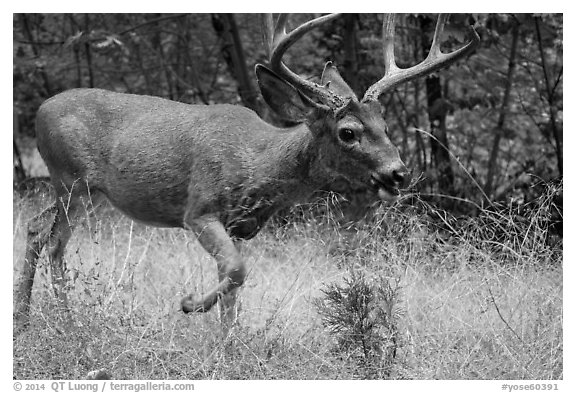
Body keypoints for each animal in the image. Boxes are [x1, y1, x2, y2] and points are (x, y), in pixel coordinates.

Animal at [14, 13, 482, 330]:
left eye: (384, 125)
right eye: (348, 132)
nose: (399, 173)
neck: (258, 164)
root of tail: (40, 111)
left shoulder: (241, 227)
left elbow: (233, 283)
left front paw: (228, 343)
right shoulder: (199, 209)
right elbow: (237, 271)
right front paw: (190, 305)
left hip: (83, 191)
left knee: (43, 233)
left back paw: (40, 316)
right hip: (69, 179)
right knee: (48, 235)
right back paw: (48, 318)